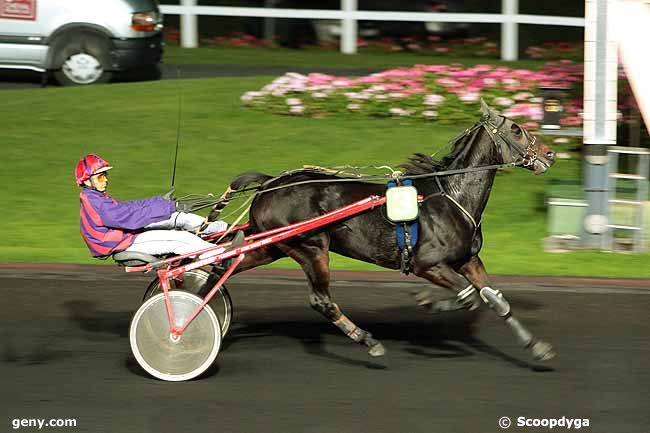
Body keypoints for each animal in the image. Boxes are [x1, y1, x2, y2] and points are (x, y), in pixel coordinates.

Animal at [220, 100, 556, 362]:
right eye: (516, 129)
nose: (550, 154)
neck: (452, 196)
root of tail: (270, 182)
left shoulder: (468, 260)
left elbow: (497, 300)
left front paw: (537, 346)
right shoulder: (428, 264)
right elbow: (469, 297)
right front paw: (427, 302)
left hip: (271, 246)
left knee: (225, 266)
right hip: (311, 247)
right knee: (321, 300)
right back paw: (368, 340)